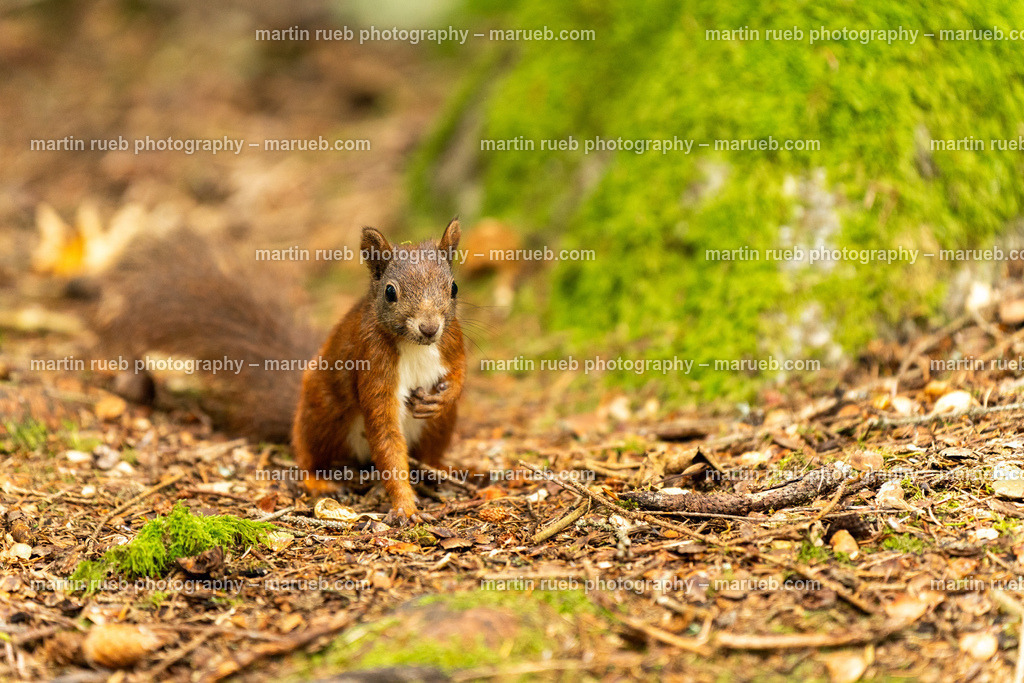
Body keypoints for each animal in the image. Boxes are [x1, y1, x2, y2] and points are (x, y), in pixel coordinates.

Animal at [94, 220, 466, 525]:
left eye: (454, 288)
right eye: (390, 292)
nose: (429, 328)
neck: (415, 345)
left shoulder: (453, 340)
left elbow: (460, 371)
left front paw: (445, 395)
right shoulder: (371, 361)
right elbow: (386, 436)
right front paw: (405, 506)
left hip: (439, 427)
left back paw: (437, 471)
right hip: (324, 412)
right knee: (307, 450)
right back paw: (318, 480)